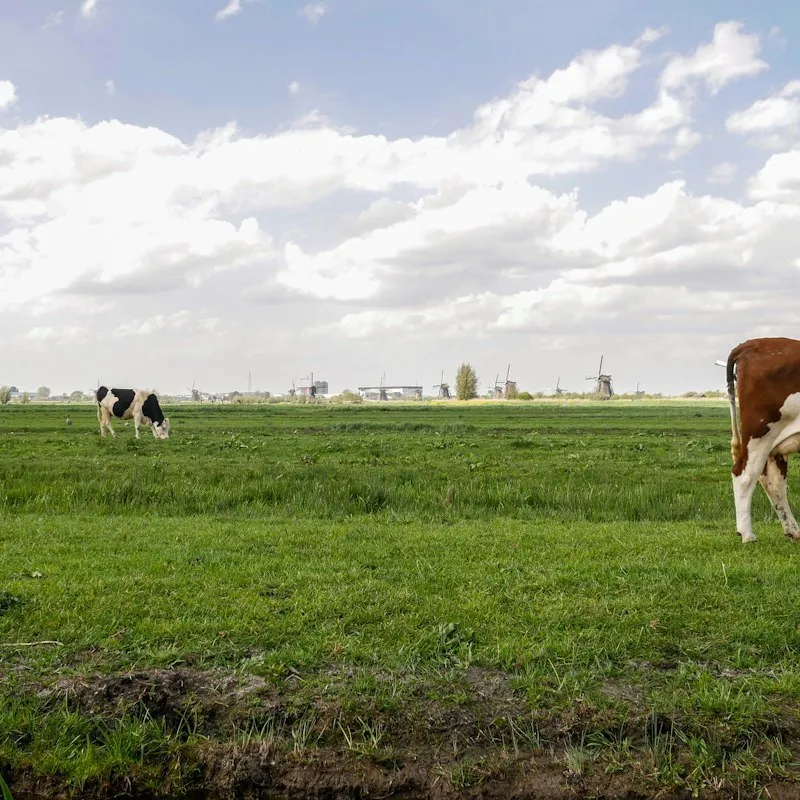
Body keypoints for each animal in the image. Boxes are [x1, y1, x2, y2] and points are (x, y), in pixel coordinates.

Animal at [727, 337, 800, 543]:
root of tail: (754, 343)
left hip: (774, 444)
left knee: (774, 483)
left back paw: (793, 531)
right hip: (760, 433)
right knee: (744, 476)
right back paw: (747, 534)